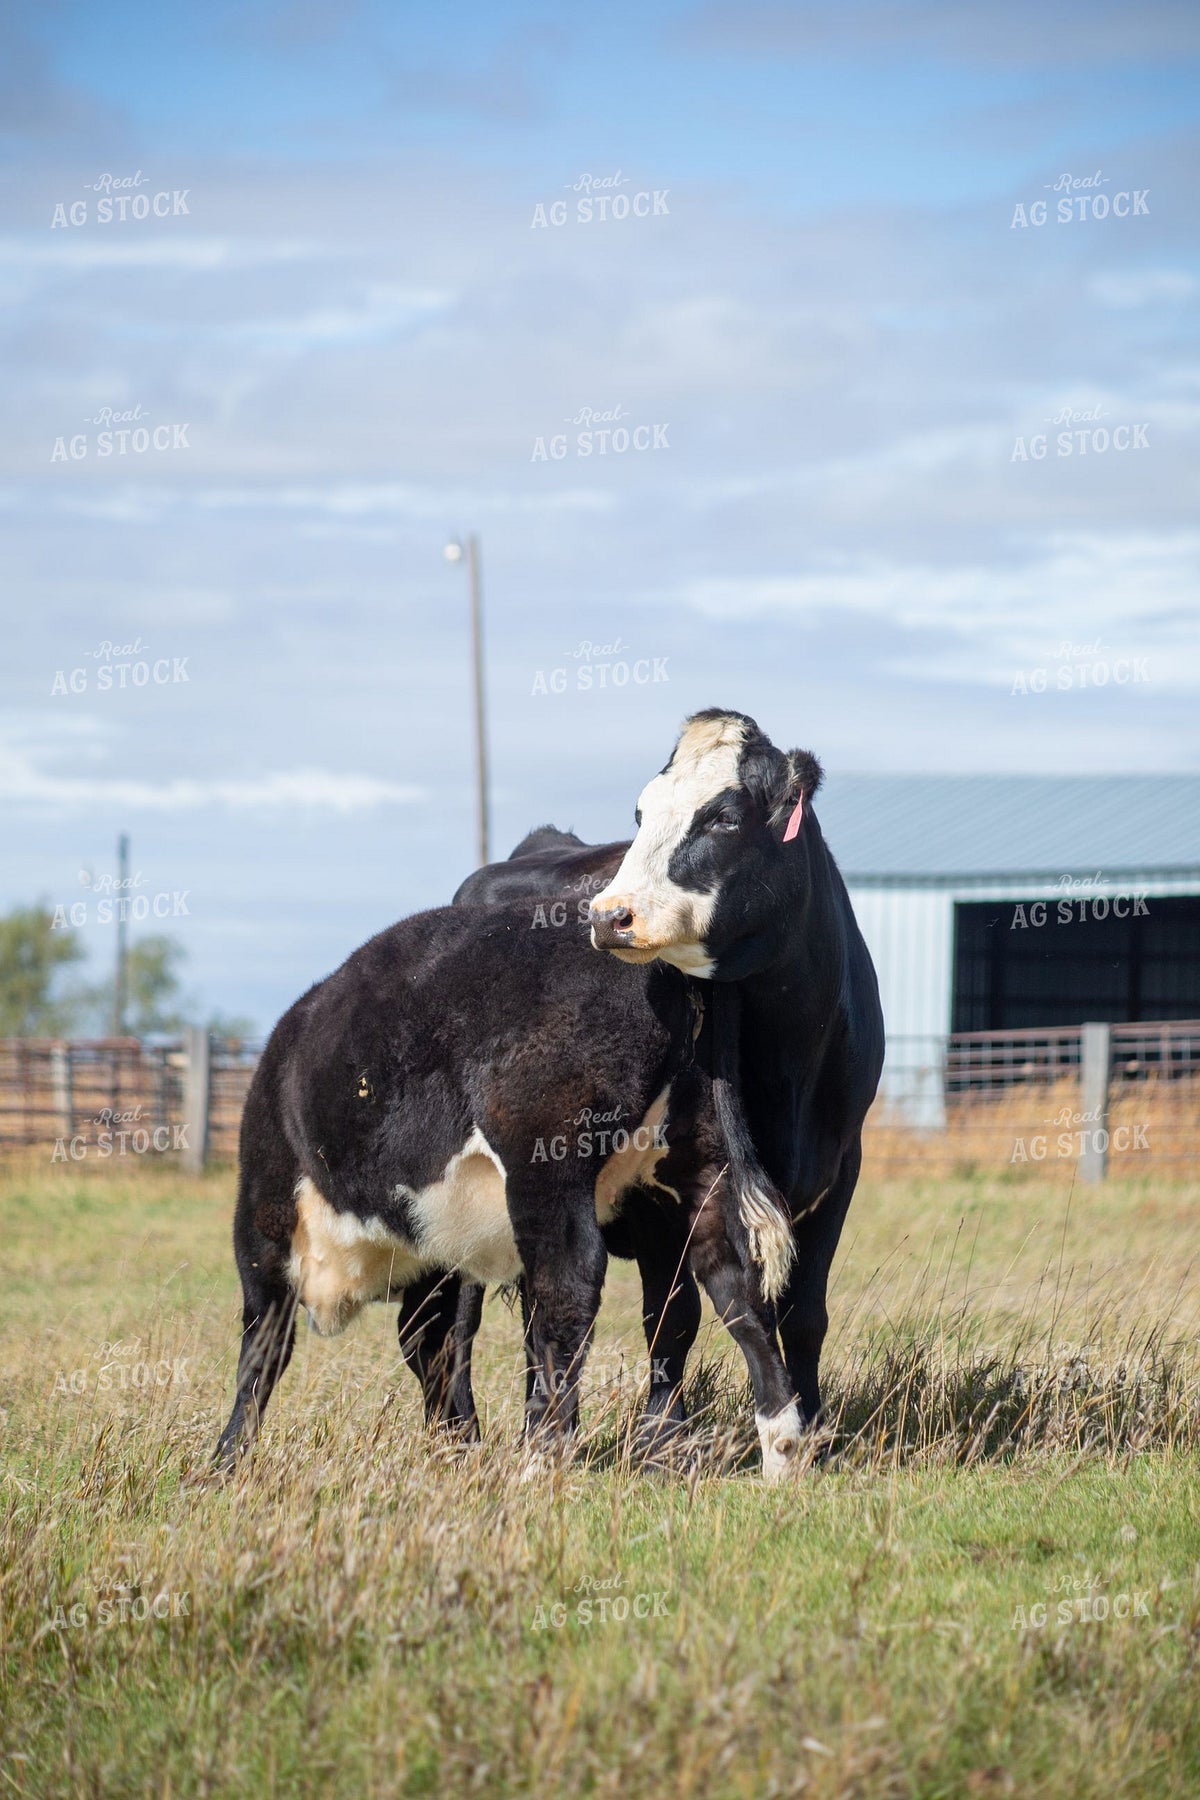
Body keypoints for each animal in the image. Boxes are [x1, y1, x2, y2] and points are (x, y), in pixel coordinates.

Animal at [213, 889, 806, 1481]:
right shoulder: (442, 1260)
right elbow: (436, 1343)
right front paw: (458, 1446)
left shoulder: (263, 1223)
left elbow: (261, 1349)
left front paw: (226, 1459)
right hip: (700, 1166)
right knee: (738, 1284)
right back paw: (781, 1451)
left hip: (546, 1167)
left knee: (569, 1286)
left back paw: (540, 1456)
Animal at [447, 708, 885, 1447]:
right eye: (641, 812)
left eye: (726, 817)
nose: (607, 915)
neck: (789, 1062)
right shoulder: (658, 1192)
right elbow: (672, 1316)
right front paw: (662, 1436)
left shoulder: (838, 1172)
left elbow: (804, 1315)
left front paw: (817, 1430)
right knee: (460, 1315)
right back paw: (461, 1433)